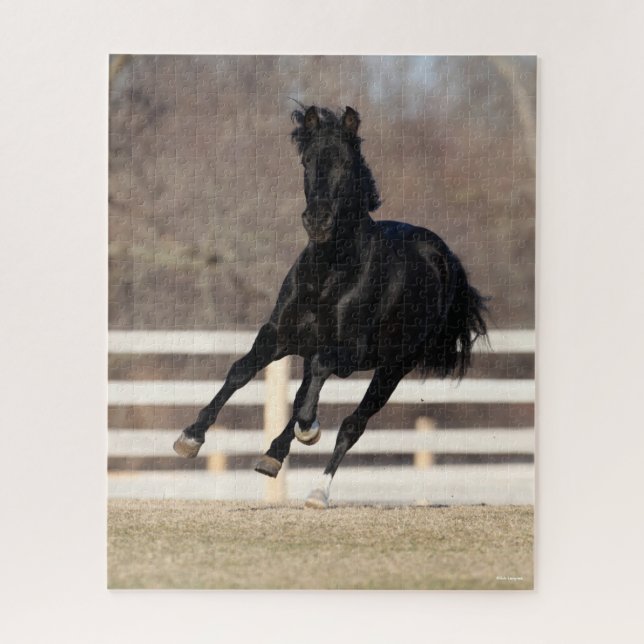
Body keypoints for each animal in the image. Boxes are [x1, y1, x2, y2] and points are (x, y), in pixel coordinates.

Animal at [173, 104, 488, 508]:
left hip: (394, 366)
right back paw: (272, 456)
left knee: (353, 423)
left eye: (346, 163)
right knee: (302, 396)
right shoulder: (280, 335)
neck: (328, 273)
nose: (318, 221)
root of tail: (444, 257)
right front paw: (190, 437)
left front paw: (310, 430)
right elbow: (241, 371)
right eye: (307, 161)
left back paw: (317, 490)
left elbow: (318, 384)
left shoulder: (351, 352)